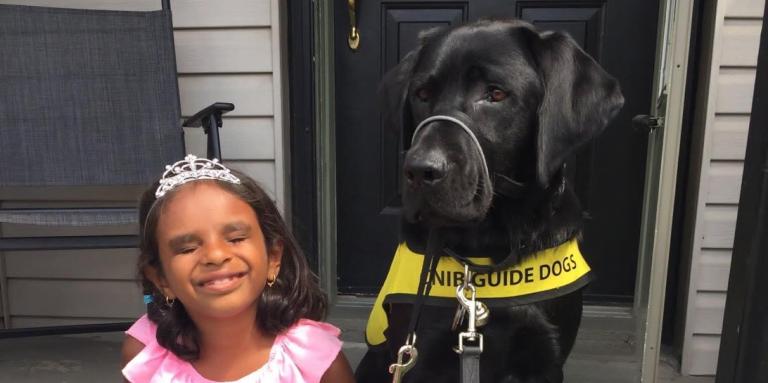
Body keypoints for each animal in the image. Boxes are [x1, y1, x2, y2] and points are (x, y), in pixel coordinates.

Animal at [356, 19, 624, 382]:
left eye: (495, 94)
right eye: (422, 94)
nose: (420, 170)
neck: (488, 244)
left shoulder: (545, 359)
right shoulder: (419, 354)